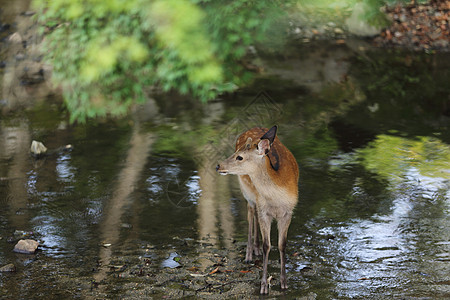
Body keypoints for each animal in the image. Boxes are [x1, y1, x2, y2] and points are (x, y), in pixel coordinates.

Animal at [215, 125, 298, 294]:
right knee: (250, 212)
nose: (218, 166)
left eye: (239, 157)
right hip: (247, 191)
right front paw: (264, 286)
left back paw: (256, 247)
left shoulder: (288, 211)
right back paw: (249, 254)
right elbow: (268, 245)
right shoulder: (263, 209)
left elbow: (282, 244)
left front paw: (284, 282)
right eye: (235, 152)